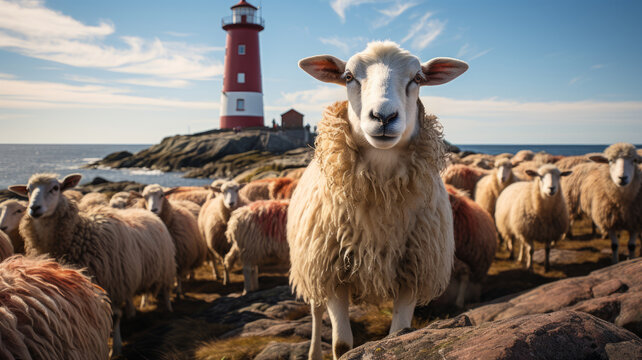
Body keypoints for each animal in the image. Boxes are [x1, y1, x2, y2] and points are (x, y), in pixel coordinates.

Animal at [8, 173, 178, 356]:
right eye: (28, 190)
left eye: (55, 188)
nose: (34, 208)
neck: (79, 236)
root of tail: (144, 210)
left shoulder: (114, 284)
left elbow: (115, 316)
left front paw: (115, 348)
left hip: (165, 266)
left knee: (165, 288)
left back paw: (168, 308)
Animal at [288, 40, 462, 360]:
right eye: (347, 77)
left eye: (418, 78)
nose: (383, 117)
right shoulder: (332, 274)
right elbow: (341, 345)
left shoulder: (413, 274)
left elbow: (398, 335)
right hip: (311, 262)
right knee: (316, 312)